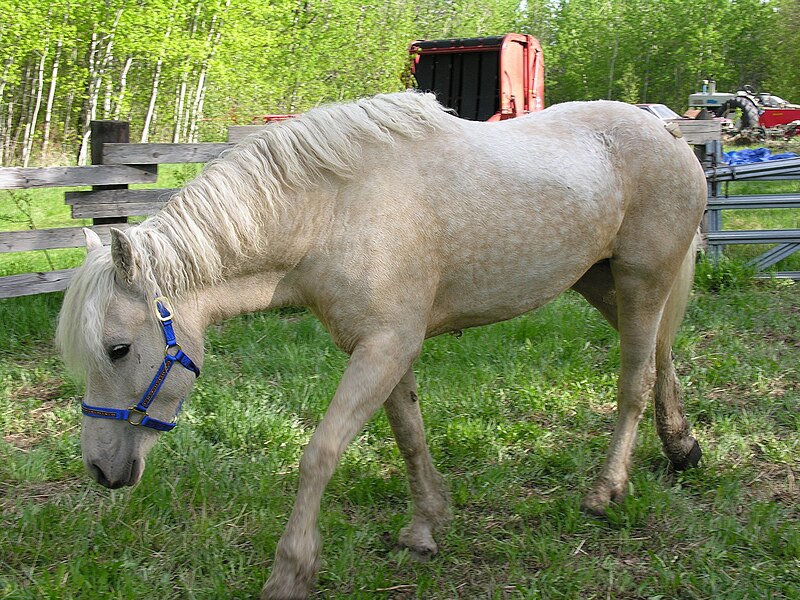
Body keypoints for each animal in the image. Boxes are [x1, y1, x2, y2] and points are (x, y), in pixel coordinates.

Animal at [56, 90, 708, 600]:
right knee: (661, 356)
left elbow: (320, 452)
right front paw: (426, 526)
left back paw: (605, 491)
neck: (331, 213)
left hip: (642, 279)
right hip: (604, 283)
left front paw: (291, 571)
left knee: (635, 380)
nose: (100, 469)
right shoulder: (384, 350)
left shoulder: (385, 348)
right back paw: (682, 446)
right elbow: (410, 435)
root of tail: (665, 129)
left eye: (117, 349)